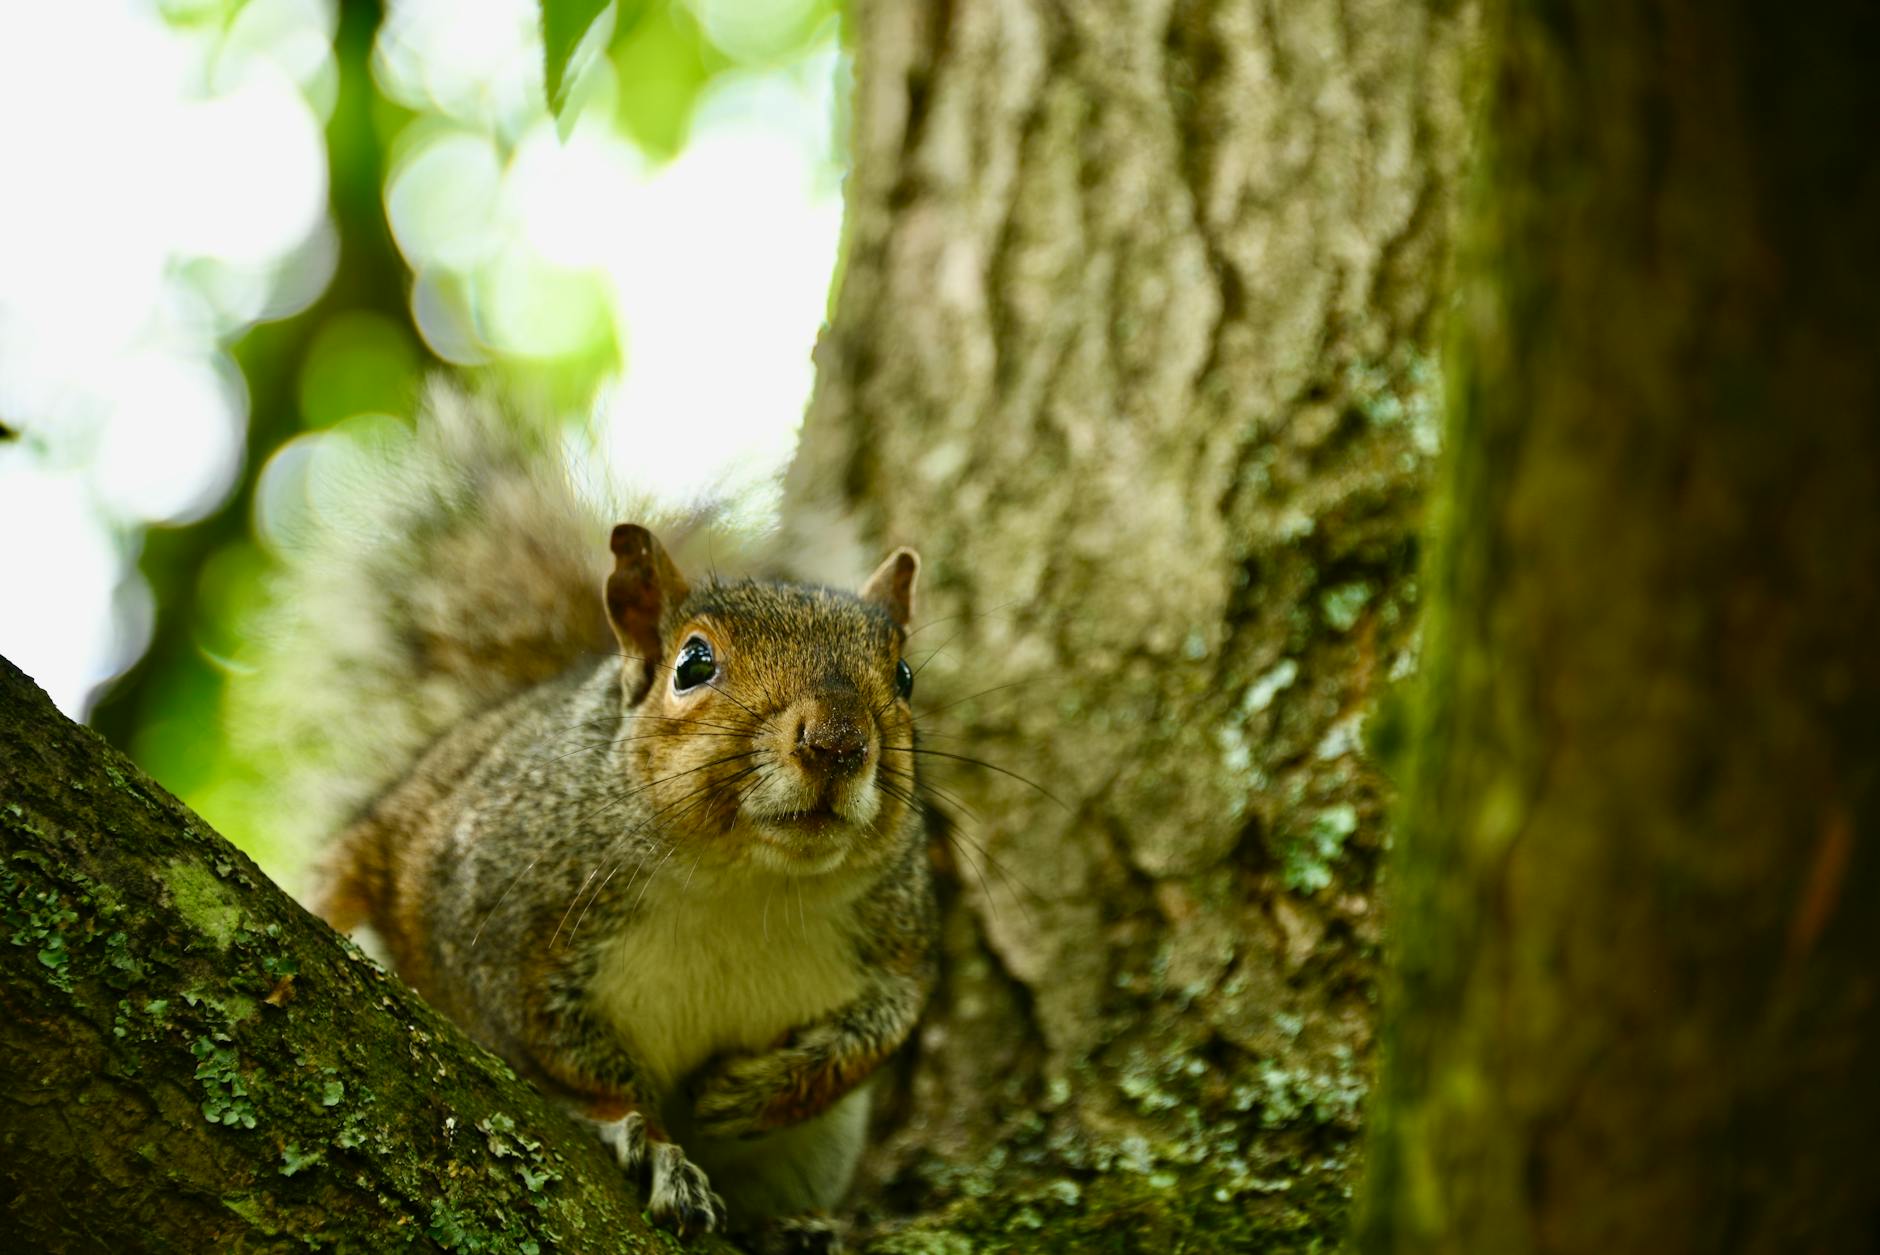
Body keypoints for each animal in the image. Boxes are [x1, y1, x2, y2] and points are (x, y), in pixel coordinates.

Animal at [246, 387, 939, 1251]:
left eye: (905, 676)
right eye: (694, 664)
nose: (838, 742)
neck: (745, 884)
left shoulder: (901, 939)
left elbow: (879, 1032)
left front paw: (749, 1090)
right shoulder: (484, 919)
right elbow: (561, 1056)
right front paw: (652, 1140)